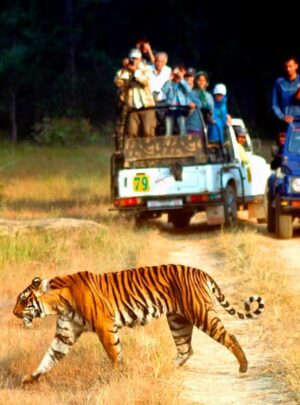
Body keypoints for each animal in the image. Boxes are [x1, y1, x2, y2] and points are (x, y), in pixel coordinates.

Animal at [12, 264, 264, 384]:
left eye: (23, 300)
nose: (14, 313)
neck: (58, 303)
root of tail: (201, 272)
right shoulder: (65, 335)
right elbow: (49, 358)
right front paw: (30, 379)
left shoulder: (105, 326)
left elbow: (114, 353)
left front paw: (118, 376)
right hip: (178, 321)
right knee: (186, 349)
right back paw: (162, 369)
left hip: (201, 314)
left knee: (229, 337)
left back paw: (243, 366)